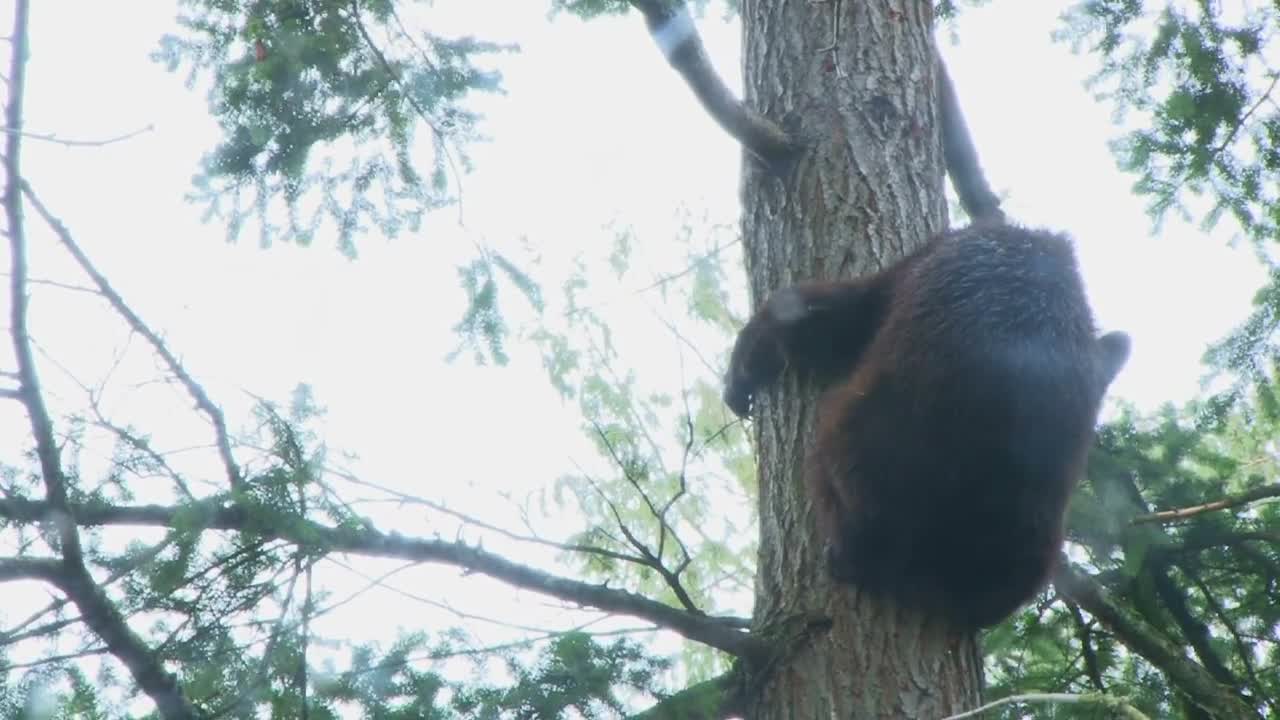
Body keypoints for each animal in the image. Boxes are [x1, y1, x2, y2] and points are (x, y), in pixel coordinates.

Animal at [727, 220, 1126, 627]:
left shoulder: (911, 270)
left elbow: (833, 316)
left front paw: (746, 365)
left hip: (881, 437)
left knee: (840, 467)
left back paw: (852, 551)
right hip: (1031, 513)